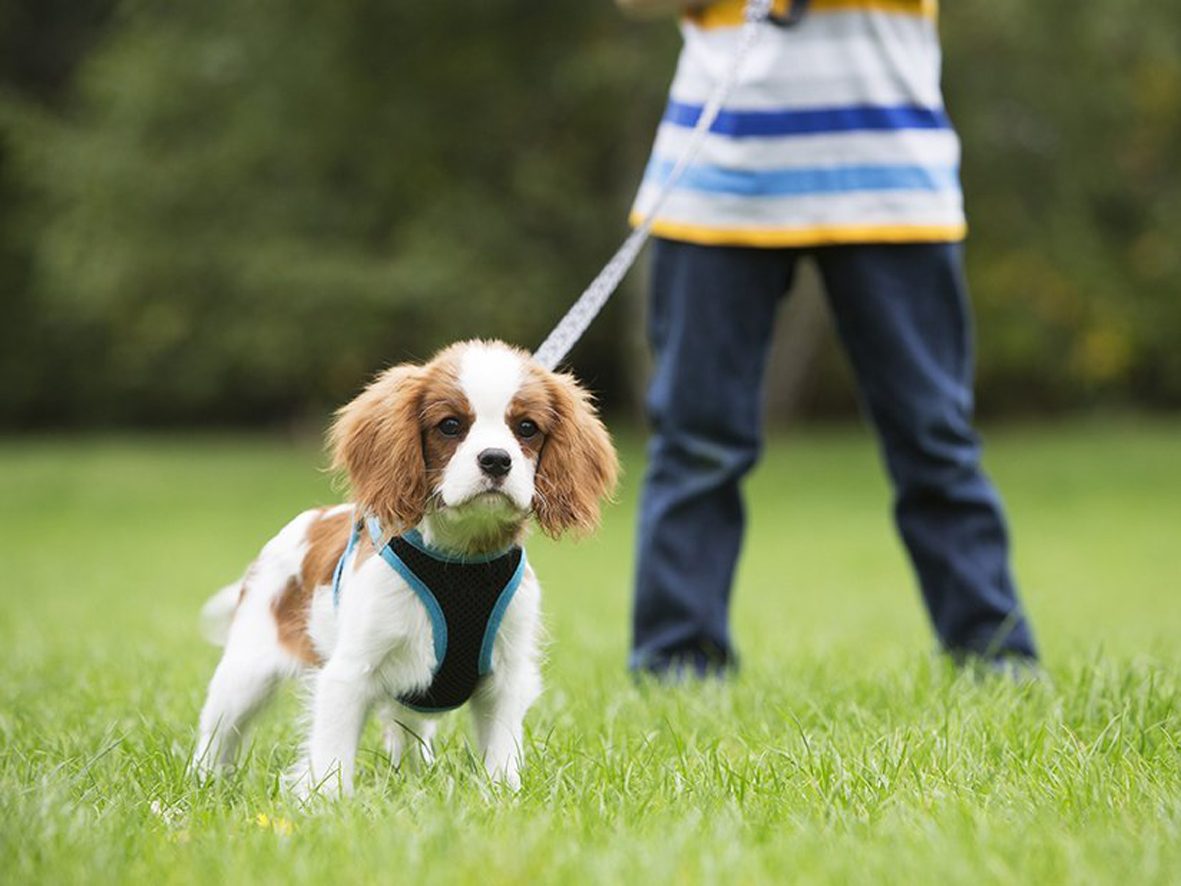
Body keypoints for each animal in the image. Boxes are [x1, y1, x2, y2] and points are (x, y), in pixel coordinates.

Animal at [193, 342, 618, 798]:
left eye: (526, 428)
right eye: (450, 426)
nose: (496, 460)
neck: (460, 559)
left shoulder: (506, 677)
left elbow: (502, 752)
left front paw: (501, 795)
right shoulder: (348, 674)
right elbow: (331, 756)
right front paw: (328, 804)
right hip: (245, 672)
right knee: (217, 732)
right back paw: (200, 783)